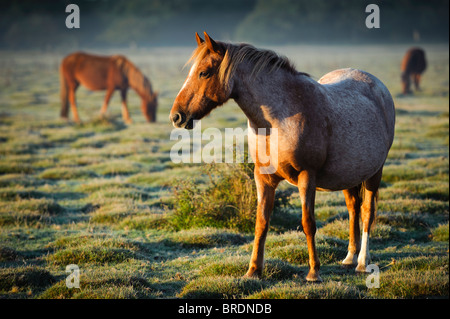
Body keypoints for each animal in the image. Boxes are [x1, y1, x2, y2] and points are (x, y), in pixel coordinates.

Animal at [169, 32, 394, 282]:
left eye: (204, 72)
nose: (176, 116)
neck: (278, 120)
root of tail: (378, 86)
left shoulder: (307, 177)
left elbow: (308, 223)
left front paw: (314, 272)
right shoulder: (263, 178)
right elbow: (261, 222)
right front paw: (253, 270)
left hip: (374, 173)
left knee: (367, 213)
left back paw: (362, 262)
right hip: (349, 176)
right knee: (354, 209)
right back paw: (349, 258)